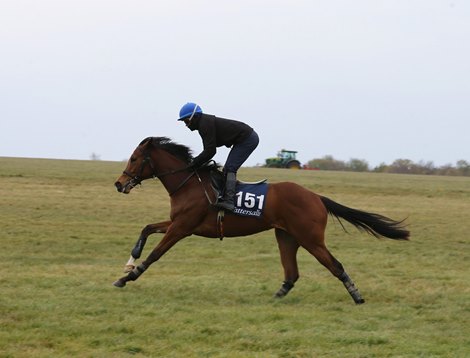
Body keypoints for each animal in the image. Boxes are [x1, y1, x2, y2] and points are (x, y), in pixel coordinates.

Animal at [113, 136, 408, 304]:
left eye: (135, 158)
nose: (119, 184)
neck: (189, 183)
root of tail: (316, 197)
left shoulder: (182, 227)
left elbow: (155, 254)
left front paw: (128, 276)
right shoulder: (177, 223)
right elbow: (147, 228)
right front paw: (130, 262)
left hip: (311, 239)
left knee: (335, 265)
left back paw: (356, 295)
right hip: (287, 236)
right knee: (292, 273)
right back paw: (276, 297)